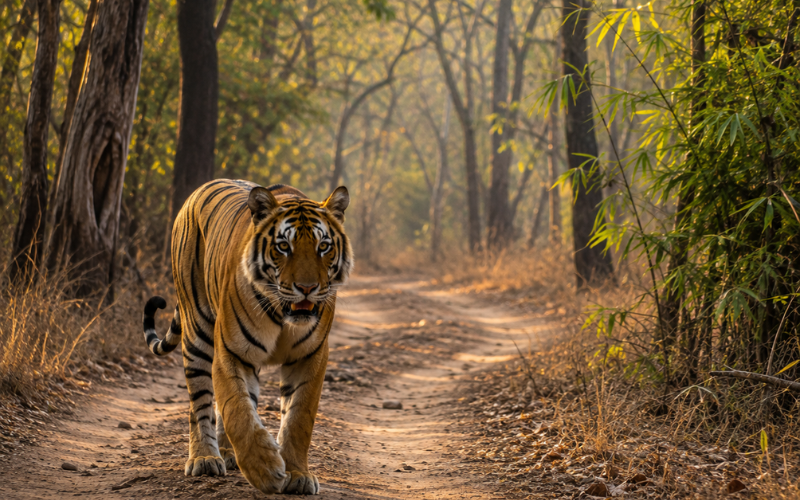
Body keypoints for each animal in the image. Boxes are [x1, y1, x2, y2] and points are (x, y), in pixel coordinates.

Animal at [141, 179, 352, 495]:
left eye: (323, 246)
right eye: (283, 246)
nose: (307, 288)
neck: (283, 315)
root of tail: (198, 190)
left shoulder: (310, 357)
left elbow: (298, 418)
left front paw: (298, 474)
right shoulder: (231, 351)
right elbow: (237, 410)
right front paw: (264, 469)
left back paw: (228, 454)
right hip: (197, 330)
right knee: (200, 402)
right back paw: (205, 458)